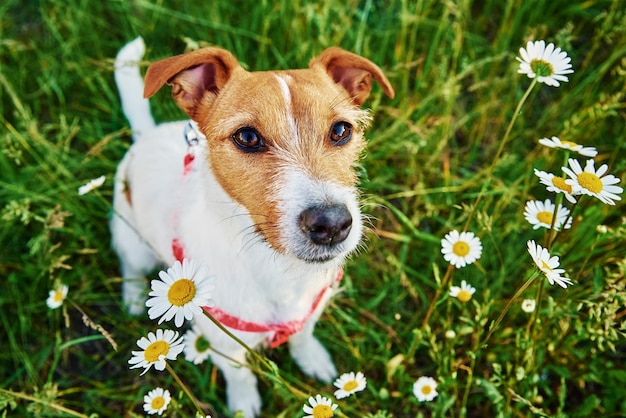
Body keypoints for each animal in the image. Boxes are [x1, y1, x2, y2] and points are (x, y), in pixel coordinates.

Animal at [111, 37, 392, 416]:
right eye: (246, 137)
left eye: (341, 130)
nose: (332, 224)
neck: (276, 267)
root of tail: (147, 135)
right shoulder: (223, 343)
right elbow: (240, 374)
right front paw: (244, 404)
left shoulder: (310, 309)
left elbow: (303, 336)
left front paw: (312, 358)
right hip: (132, 239)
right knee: (130, 263)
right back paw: (133, 294)